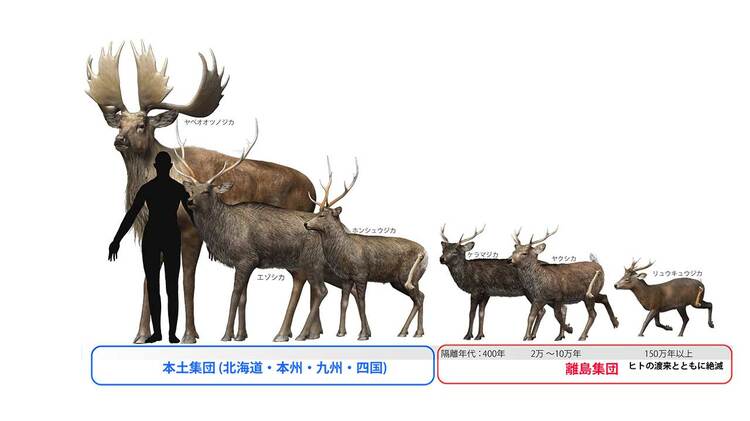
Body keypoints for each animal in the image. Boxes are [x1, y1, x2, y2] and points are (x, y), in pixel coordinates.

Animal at [86, 41, 323, 343]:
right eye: (119, 123)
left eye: (142, 125)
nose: (119, 140)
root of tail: (312, 188)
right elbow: (147, 280)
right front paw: (141, 335)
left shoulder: (190, 231)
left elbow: (188, 281)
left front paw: (189, 334)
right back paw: (310, 332)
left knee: (302, 277)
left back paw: (290, 333)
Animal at [303, 159, 428, 340]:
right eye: (317, 213)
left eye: (322, 215)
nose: (306, 224)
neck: (343, 252)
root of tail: (425, 253)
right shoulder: (346, 277)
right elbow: (344, 303)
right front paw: (341, 332)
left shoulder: (361, 274)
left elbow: (362, 303)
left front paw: (362, 334)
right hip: (399, 281)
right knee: (421, 297)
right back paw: (410, 331)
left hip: (409, 276)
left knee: (418, 298)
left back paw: (412, 332)